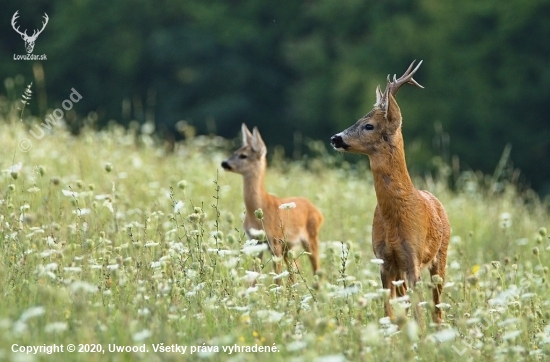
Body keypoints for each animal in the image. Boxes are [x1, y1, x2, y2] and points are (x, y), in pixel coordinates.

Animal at [221, 124, 324, 282]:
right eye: (234, 151)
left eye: (243, 155)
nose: (224, 163)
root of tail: (318, 212)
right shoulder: (255, 242)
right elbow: (255, 275)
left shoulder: (275, 241)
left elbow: (277, 278)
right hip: (290, 246)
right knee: (295, 268)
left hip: (310, 238)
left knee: (316, 269)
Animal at [332, 60, 452, 324]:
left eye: (369, 125)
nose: (335, 138)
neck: (394, 220)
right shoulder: (384, 260)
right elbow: (389, 311)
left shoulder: (412, 258)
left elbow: (418, 313)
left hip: (441, 255)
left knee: (437, 308)